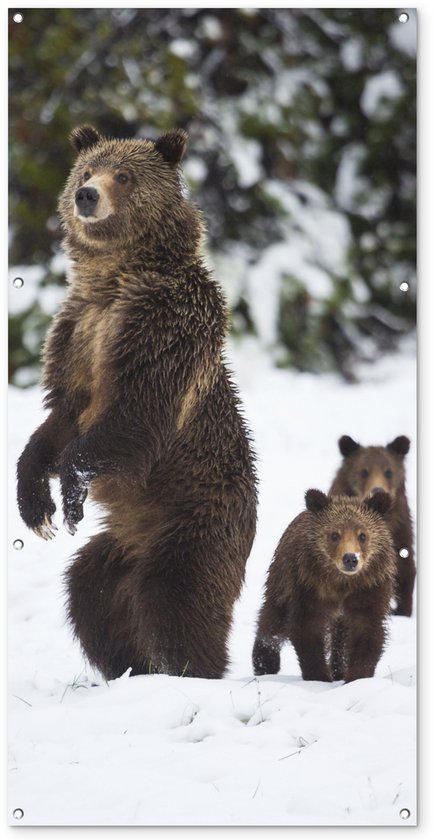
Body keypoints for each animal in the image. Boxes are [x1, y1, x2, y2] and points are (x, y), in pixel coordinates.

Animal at [16, 124, 258, 680]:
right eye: (87, 169)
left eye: (124, 176)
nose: (87, 196)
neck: (115, 279)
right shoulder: (78, 334)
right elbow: (59, 419)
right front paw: (37, 508)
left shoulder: (161, 331)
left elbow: (134, 415)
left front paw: (70, 492)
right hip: (121, 544)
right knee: (90, 595)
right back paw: (128, 669)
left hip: (193, 523)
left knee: (175, 600)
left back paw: (191, 670)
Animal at [252, 489, 396, 683]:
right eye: (334, 534)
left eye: (362, 535)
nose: (350, 558)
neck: (341, 583)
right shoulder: (309, 586)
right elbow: (307, 627)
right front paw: (318, 676)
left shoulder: (369, 588)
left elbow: (367, 630)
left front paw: (357, 676)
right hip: (281, 578)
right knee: (273, 620)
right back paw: (264, 662)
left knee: (340, 637)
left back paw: (338, 669)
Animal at [329, 435, 415, 617]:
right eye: (364, 471)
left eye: (388, 471)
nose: (378, 490)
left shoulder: (400, 530)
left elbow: (405, 567)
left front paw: (403, 610)